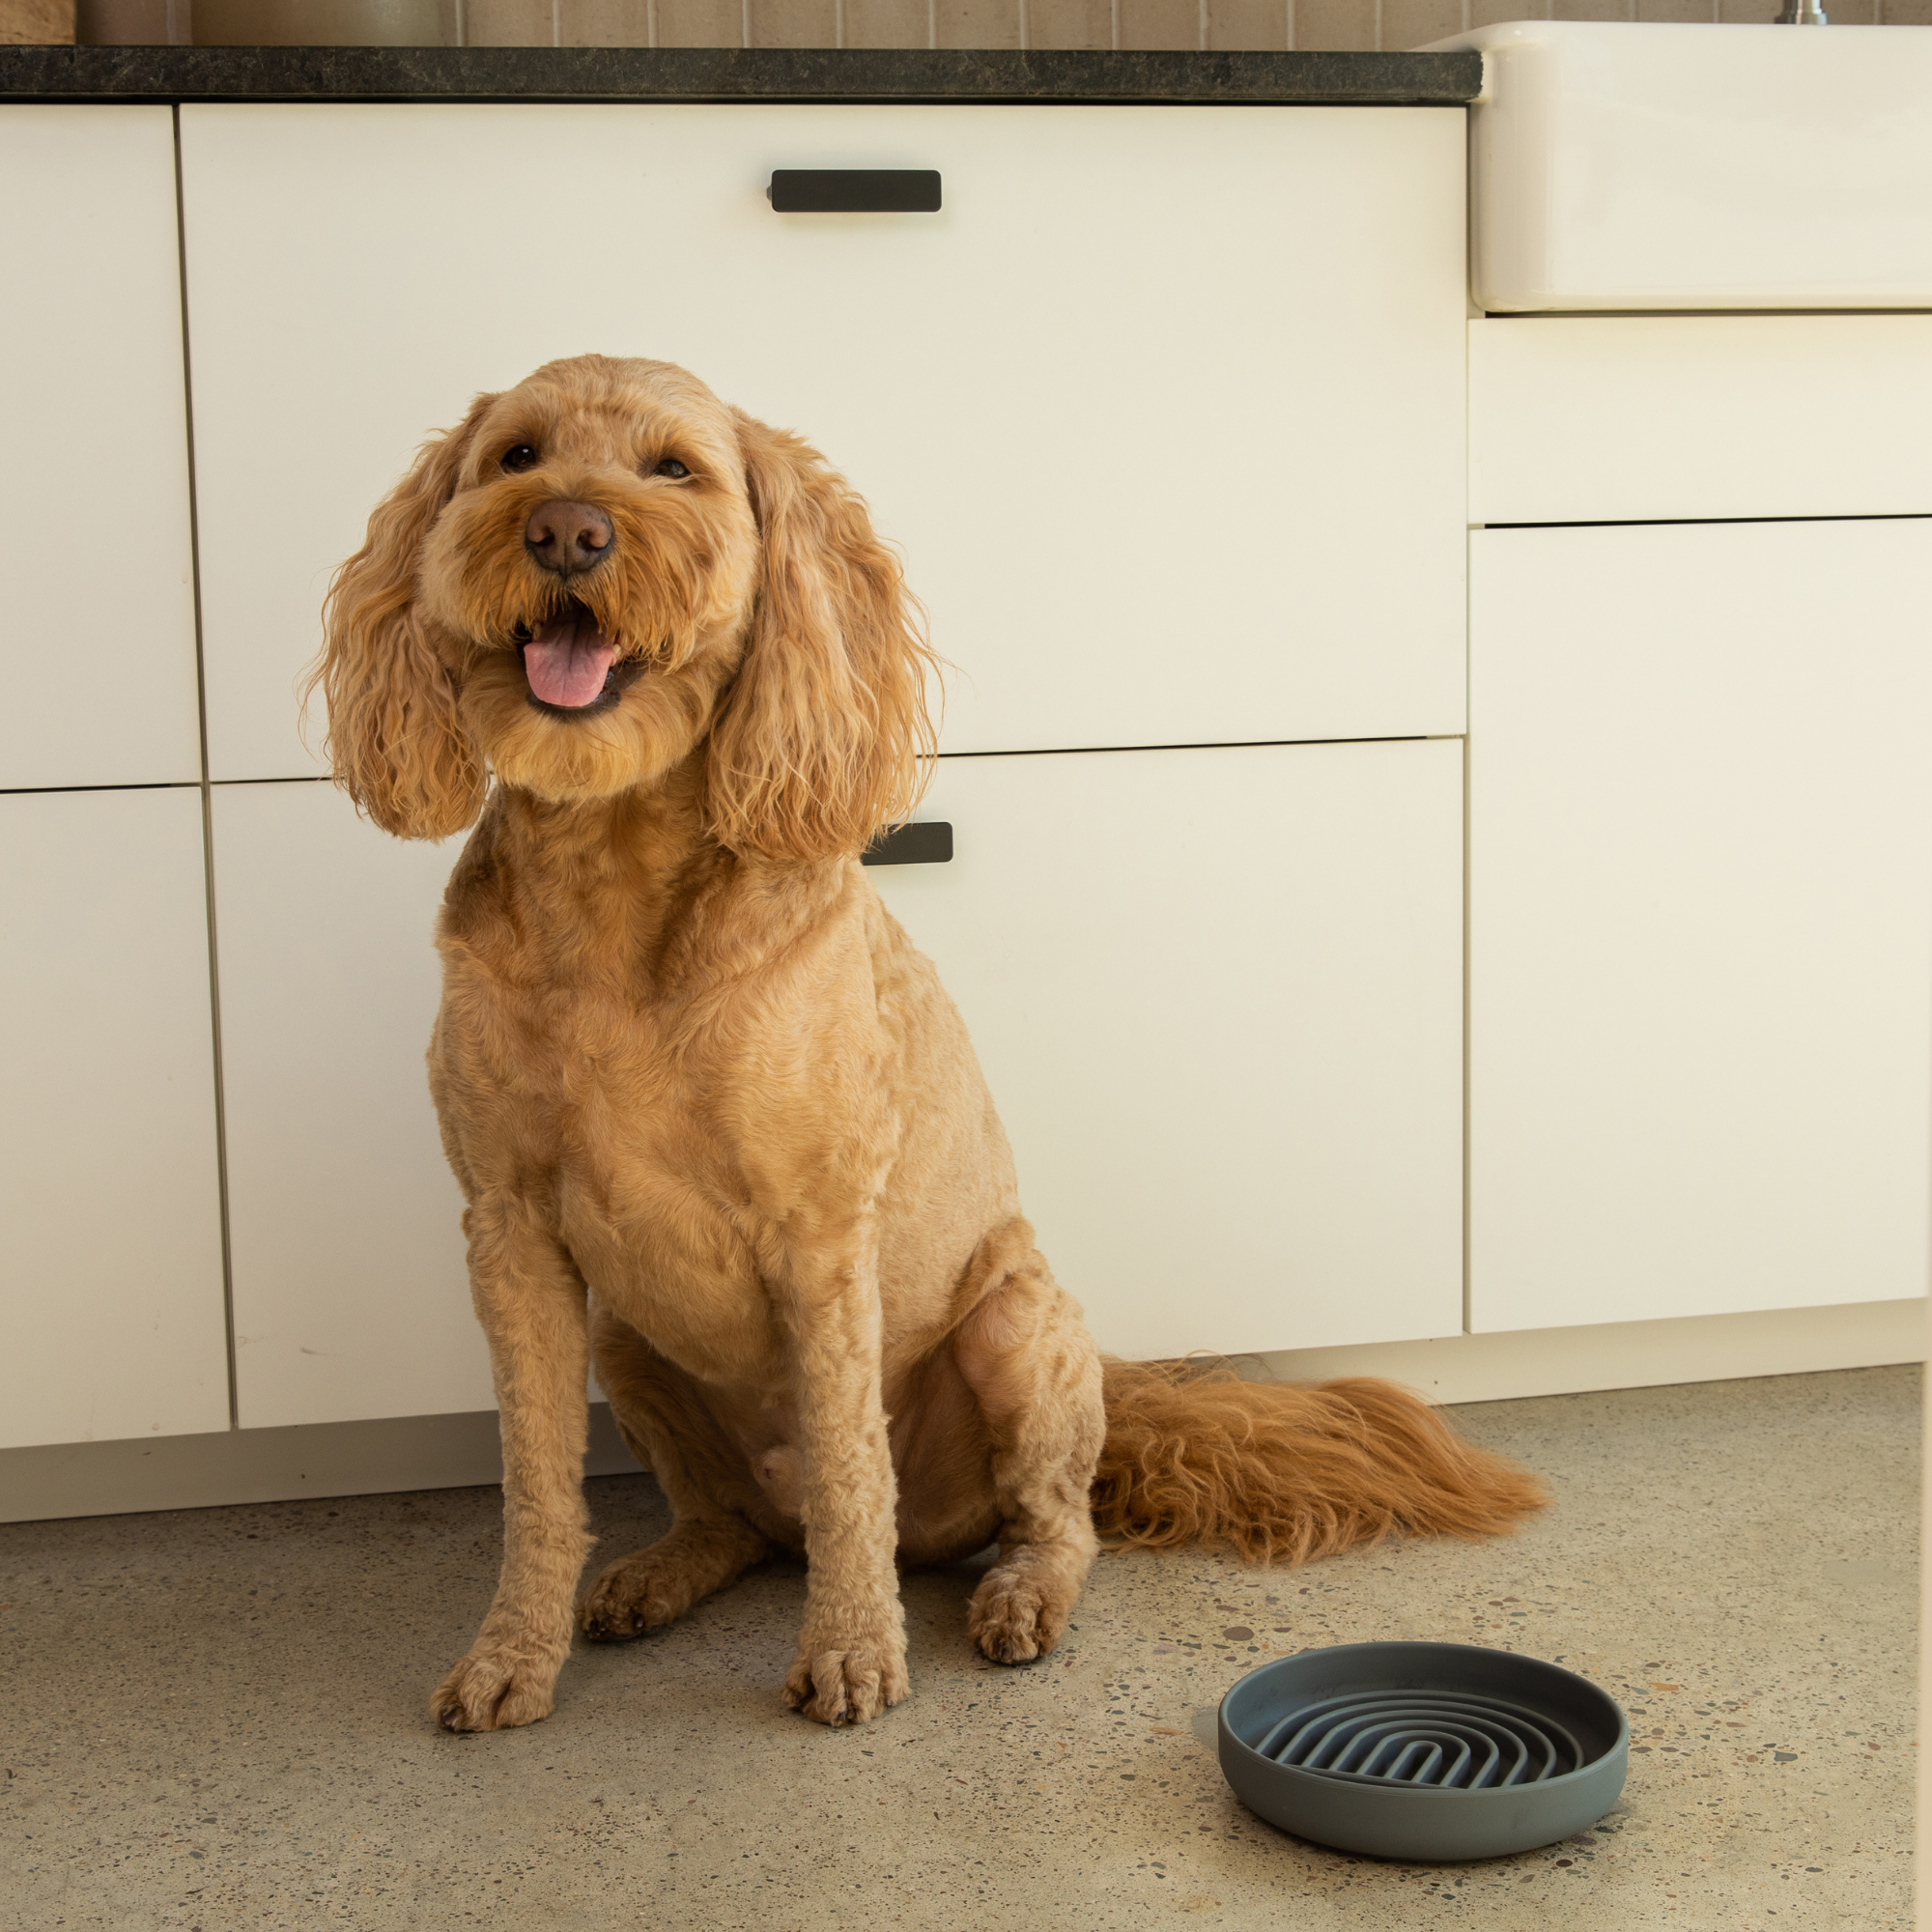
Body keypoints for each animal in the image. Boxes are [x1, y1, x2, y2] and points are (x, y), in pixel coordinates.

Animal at [313, 352, 1553, 1739]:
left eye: (674, 469)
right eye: (517, 456)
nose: (567, 531)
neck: (612, 886)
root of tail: (1120, 1383)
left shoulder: (818, 1235)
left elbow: (854, 1467)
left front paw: (855, 1653)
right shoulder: (510, 1231)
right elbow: (536, 1481)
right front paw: (508, 1657)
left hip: (1011, 1330)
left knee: (1048, 1521)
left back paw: (1017, 1600)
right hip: (631, 1341)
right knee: (737, 1520)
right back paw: (660, 1572)